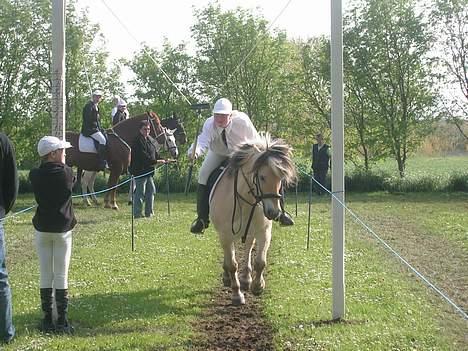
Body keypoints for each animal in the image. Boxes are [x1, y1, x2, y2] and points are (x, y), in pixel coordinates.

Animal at [210, 134, 294, 306]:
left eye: (280, 178)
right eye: (262, 177)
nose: (274, 212)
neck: (245, 200)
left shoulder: (264, 231)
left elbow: (260, 261)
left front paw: (257, 286)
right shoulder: (225, 235)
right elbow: (232, 265)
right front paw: (237, 295)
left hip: (249, 232)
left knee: (248, 248)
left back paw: (246, 279)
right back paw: (228, 278)